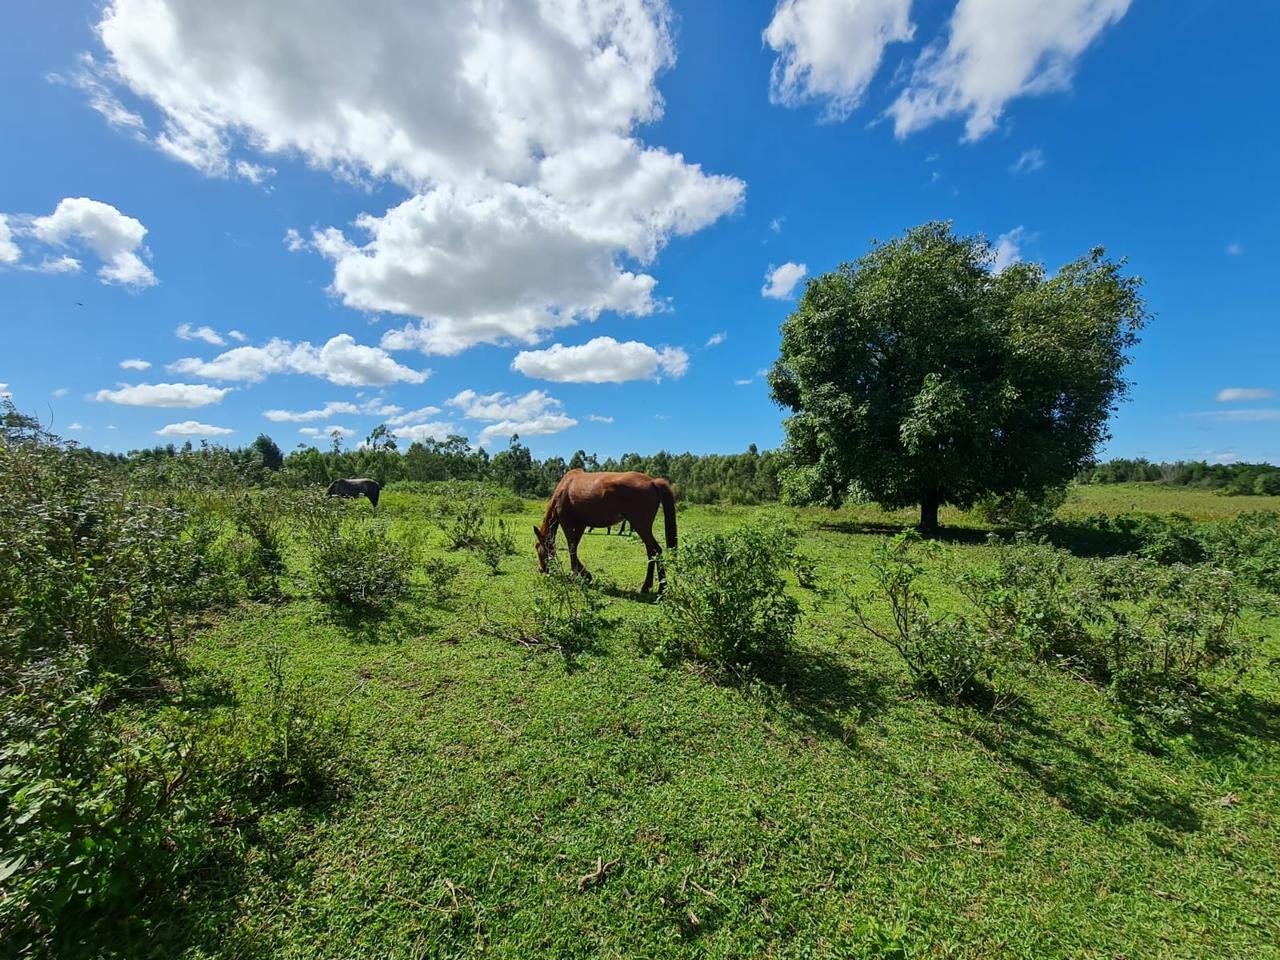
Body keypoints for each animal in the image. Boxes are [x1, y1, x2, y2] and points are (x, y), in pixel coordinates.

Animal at [532, 471, 680, 599]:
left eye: (538, 548)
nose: (541, 570)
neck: (565, 487)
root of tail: (652, 482)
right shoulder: (580, 525)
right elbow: (575, 546)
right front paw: (585, 574)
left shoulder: (566, 522)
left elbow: (572, 547)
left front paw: (576, 574)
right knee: (652, 552)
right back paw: (649, 586)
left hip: (640, 525)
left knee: (656, 550)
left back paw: (660, 588)